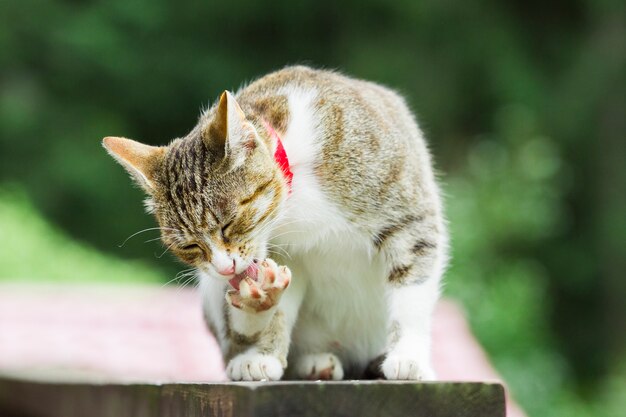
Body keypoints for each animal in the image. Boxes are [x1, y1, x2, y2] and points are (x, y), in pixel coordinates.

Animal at [103, 65, 444, 380]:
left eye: (228, 223)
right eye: (190, 246)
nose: (225, 268)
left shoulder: (410, 219)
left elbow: (411, 294)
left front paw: (408, 357)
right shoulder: (285, 253)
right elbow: (281, 306)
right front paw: (263, 351)